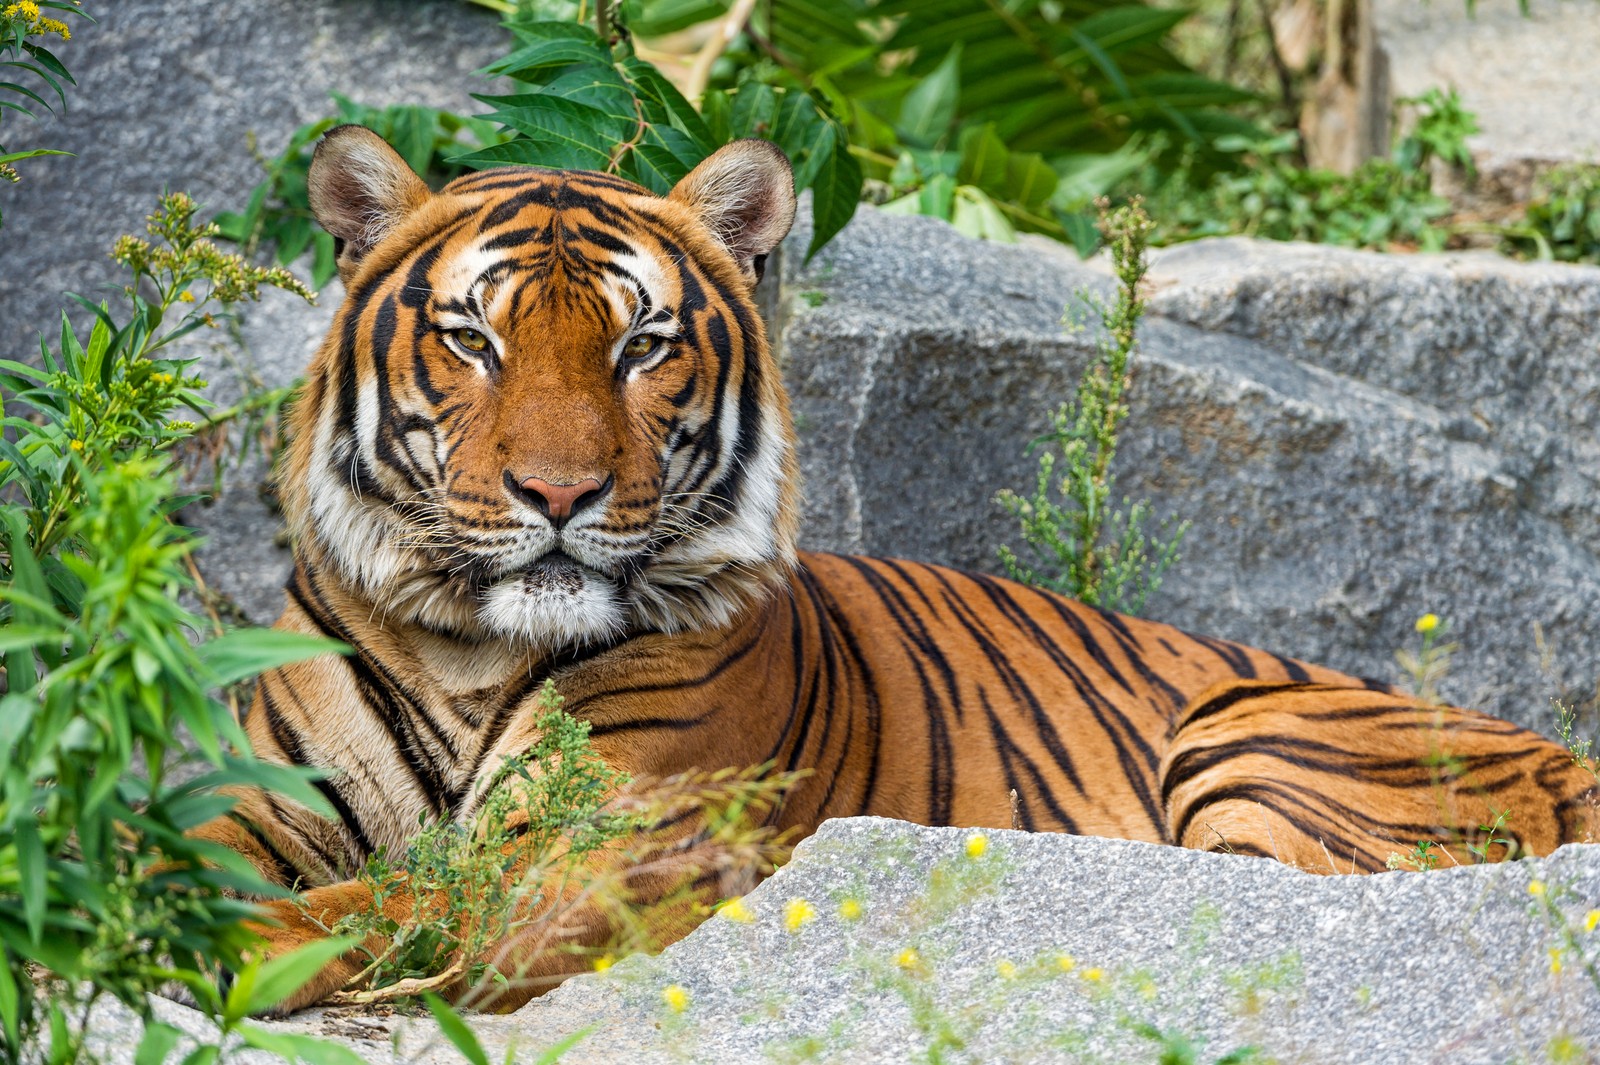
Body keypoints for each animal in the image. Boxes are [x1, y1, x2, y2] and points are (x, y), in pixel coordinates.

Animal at [196, 119, 1600, 1010]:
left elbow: (395, 902)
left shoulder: (608, 846)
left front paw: (228, 948)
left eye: (643, 344)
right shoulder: (259, 798)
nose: (559, 494)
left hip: (1254, 731)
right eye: (471, 340)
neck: (469, 650)